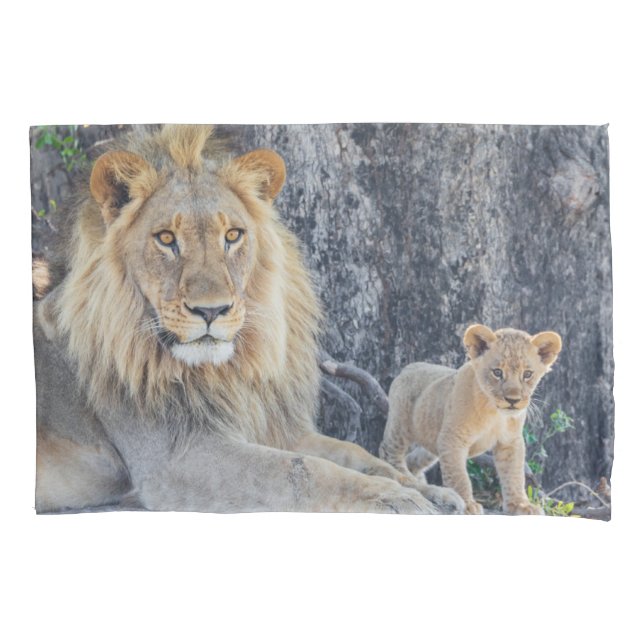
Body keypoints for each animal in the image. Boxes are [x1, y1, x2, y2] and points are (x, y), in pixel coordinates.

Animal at [34, 124, 464, 515]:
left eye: (233, 235)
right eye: (167, 239)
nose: (211, 311)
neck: (226, 372)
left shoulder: (275, 427)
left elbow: (355, 453)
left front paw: (430, 491)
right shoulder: (175, 458)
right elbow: (302, 471)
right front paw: (394, 498)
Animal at [379, 324, 562, 515]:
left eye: (527, 374)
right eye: (497, 372)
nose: (513, 400)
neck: (494, 413)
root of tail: (409, 366)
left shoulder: (510, 441)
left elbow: (514, 475)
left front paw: (520, 505)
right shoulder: (453, 439)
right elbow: (458, 476)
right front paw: (466, 504)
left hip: (431, 441)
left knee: (414, 459)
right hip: (401, 426)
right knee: (388, 451)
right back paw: (405, 476)